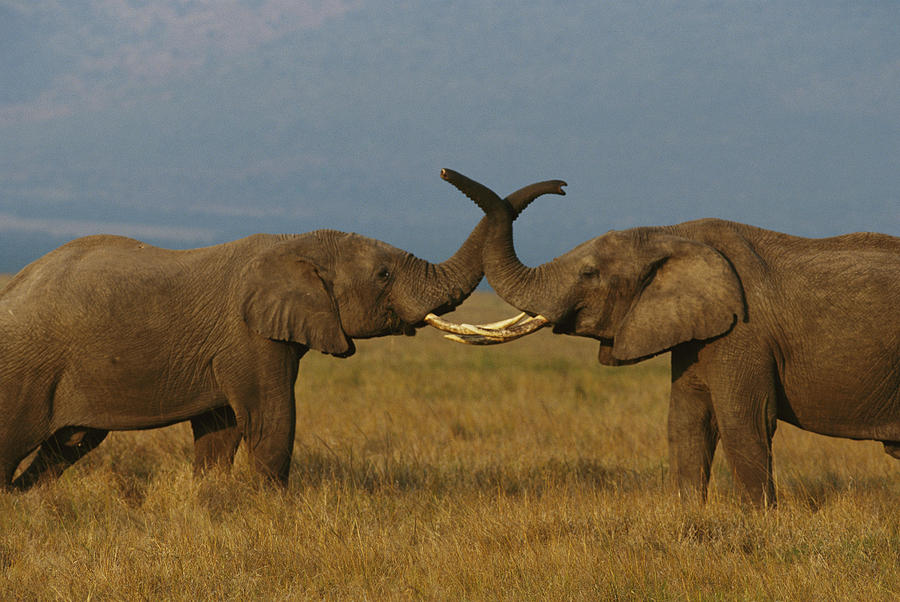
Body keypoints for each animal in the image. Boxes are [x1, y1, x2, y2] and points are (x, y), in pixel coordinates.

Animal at [0, 169, 564, 488]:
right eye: (384, 275)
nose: (562, 186)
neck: (296, 242)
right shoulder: (248, 338)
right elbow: (271, 420)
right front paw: (268, 512)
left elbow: (220, 430)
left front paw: (211, 504)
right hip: (25, 367)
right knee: (14, 441)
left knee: (67, 446)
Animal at [430, 171, 900, 504]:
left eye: (589, 274)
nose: (562, 187)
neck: (670, 232)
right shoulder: (697, 331)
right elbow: (686, 422)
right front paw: (687, 513)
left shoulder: (745, 331)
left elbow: (742, 420)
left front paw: (758, 521)